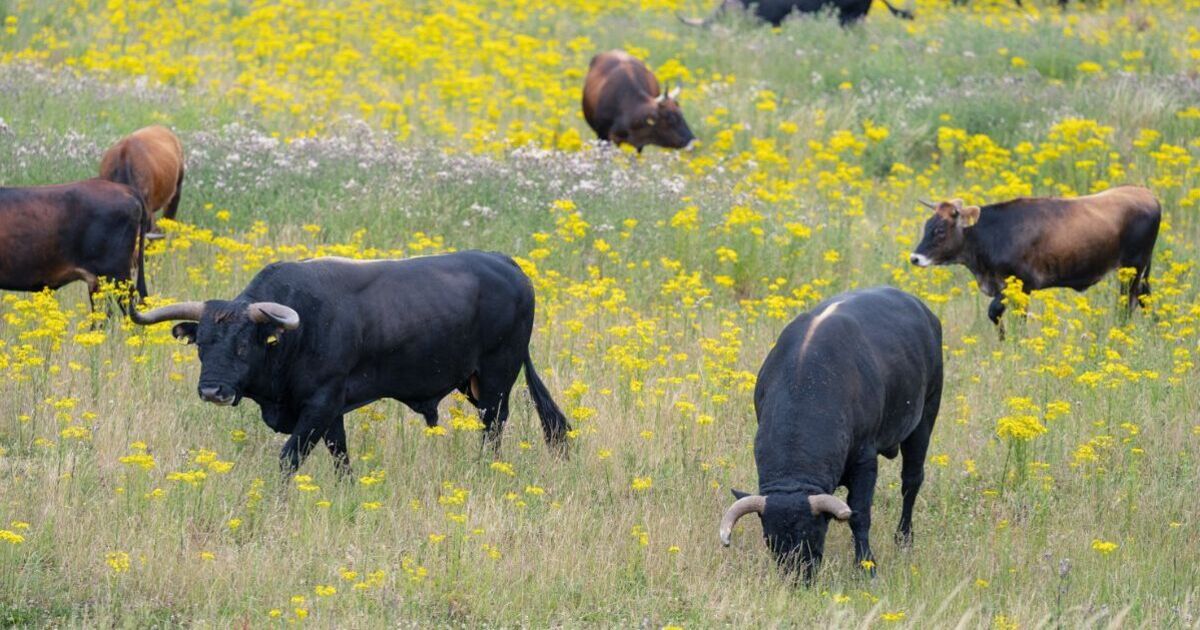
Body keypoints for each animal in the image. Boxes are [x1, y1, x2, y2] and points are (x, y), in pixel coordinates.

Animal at [131, 250, 571, 470]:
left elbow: (289, 458)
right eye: (202, 344)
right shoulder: (331, 413)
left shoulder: (320, 404)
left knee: (493, 426)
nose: (212, 390)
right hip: (474, 382)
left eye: (244, 344)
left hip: (497, 378)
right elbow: (341, 457)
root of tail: (506, 263)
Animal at [715, 286, 940, 583]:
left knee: (911, 482)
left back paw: (904, 539)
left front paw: (866, 565)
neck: (808, 382)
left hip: (924, 419)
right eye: (770, 539)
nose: (798, 578)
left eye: (812, 534)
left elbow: (859, 514)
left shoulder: (865, 462)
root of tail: (921, 309)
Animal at [907, 186, 1161, 331]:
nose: (915, 258)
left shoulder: (1021, 284)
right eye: (927, 225)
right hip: (1141, 271)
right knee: (1145, 298)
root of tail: (1147, 194)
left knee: (1127, 304)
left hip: (1132, 269)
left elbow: (998, 313)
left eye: (940, 230)